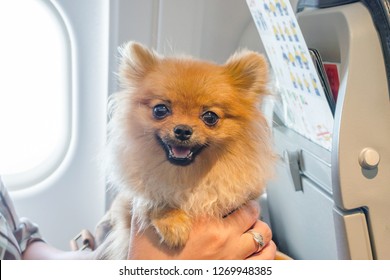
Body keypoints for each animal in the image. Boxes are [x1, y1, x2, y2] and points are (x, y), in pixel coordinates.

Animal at [97, 40, 274, 260]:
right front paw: (173, 222)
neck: (188, 177)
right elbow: (153, 198)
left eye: (210, 117)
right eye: (160, 110)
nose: (182, 130)